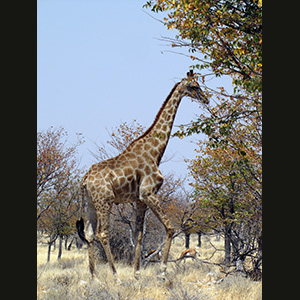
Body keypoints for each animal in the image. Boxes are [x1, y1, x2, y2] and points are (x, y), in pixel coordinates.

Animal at [76, 69, 210, 278]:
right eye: (194, 86)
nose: (206, 99)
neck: (155, 152)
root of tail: (84, 180)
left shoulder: (139, 199)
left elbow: (138, 234)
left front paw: (137, 273)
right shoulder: (149, 193)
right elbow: (170, 227)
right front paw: (162, 270)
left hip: (90, 203)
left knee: (89, 234)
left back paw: (94, 277)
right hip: (104, 201)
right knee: (102, 233)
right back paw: (115, 276)